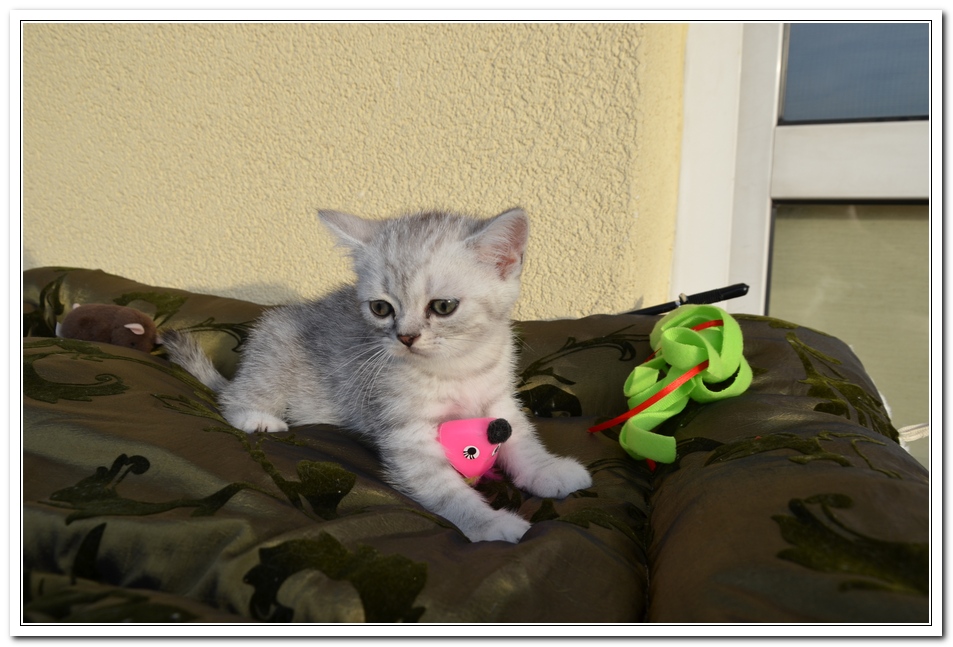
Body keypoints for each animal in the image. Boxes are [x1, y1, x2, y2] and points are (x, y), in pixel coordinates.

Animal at [163, 208, 592, 542]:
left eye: (443, 306)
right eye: (381, 308)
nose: (405, 337)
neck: (456, 367)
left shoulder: (500, 401)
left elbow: (523, 440)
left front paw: (548, 470)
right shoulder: (407, 433)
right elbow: (446, 488)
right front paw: (489, 523)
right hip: (274, 348)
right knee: (234, 397)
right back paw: (257, 417)